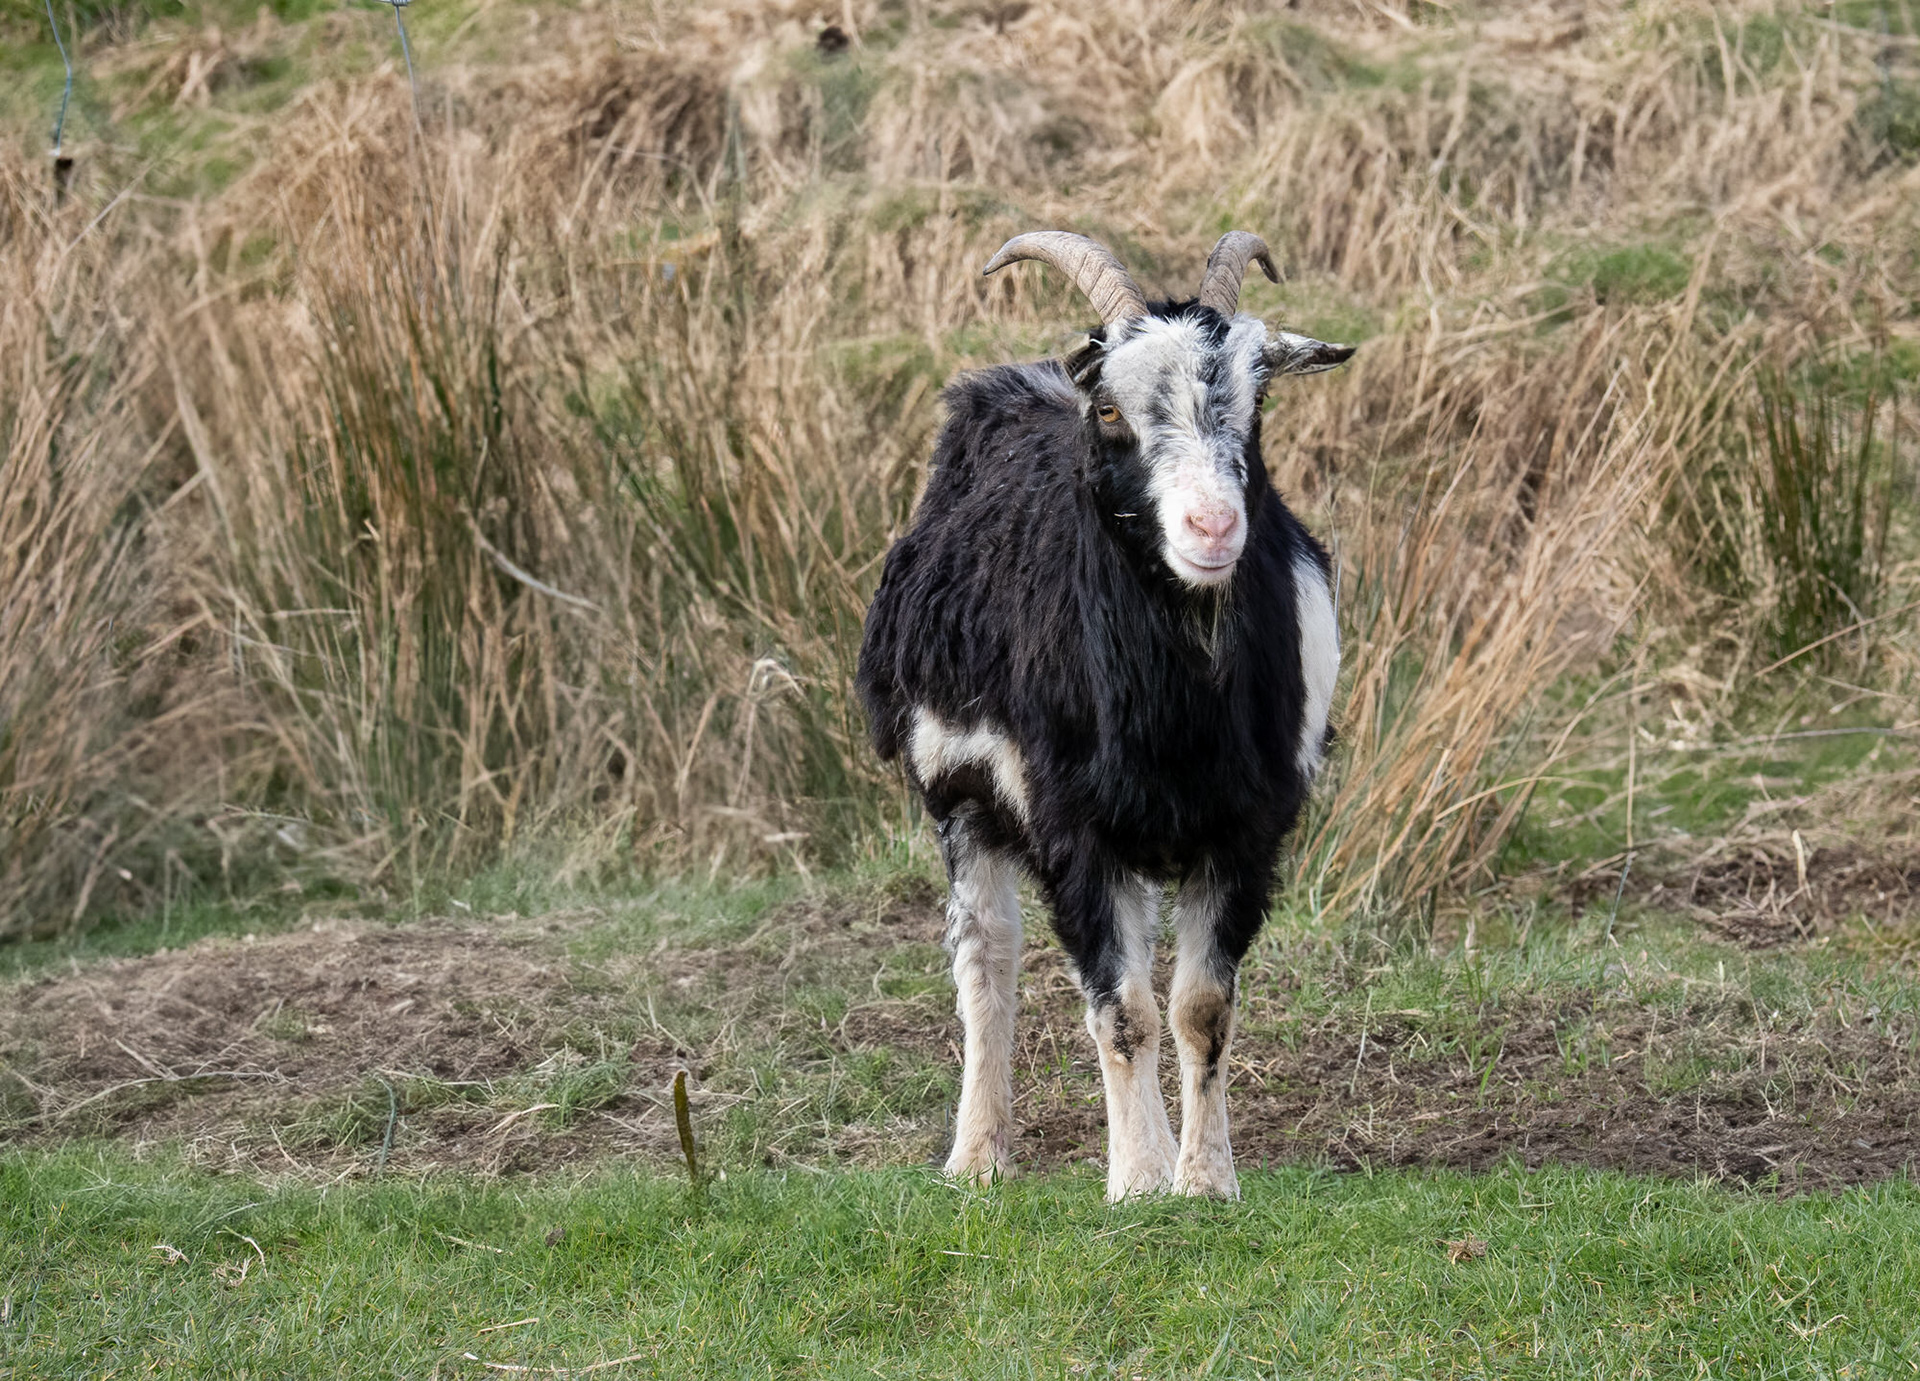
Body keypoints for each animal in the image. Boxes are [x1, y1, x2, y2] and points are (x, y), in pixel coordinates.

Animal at [856, 231, 1351, 1200]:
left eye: (1257, 401)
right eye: (1114, 412)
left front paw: (1206, 1179)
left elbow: (1200, 1009)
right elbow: (1122, 1010)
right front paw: (1138, 1178)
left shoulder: (1247, 825)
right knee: (987, 959)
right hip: (961, 795)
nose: (1212, 528)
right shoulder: (1072, 824)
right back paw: (978, 1155)